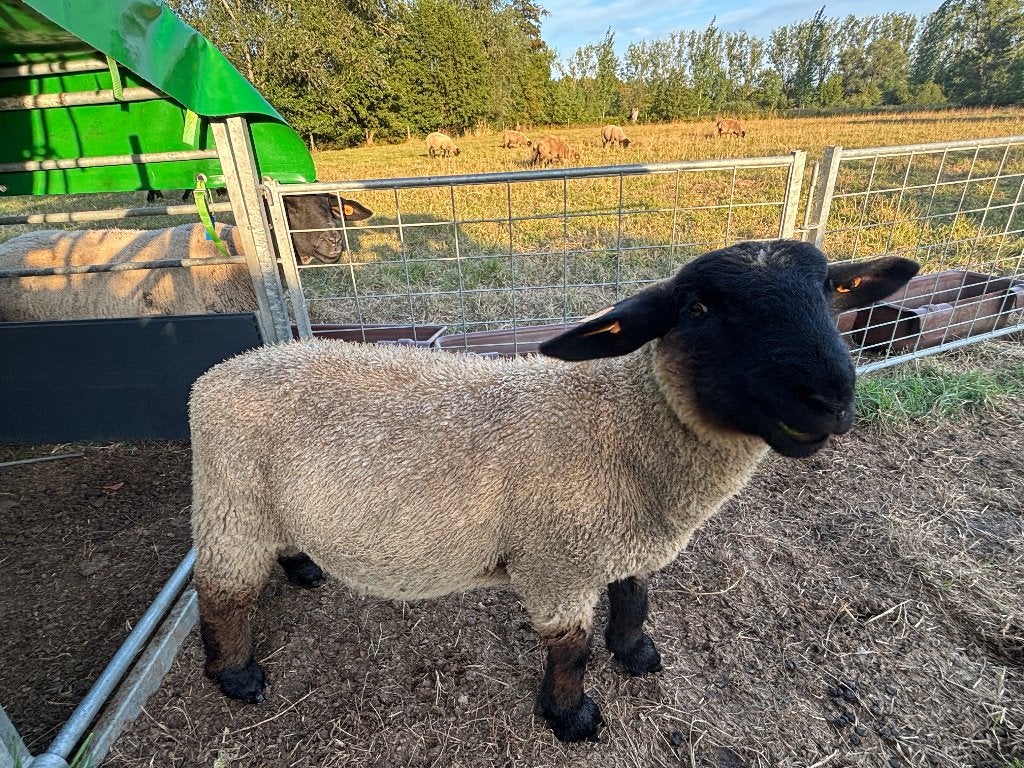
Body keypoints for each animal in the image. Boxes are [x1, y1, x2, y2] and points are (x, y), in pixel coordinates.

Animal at [189, 239, 918, 742]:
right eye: (699, 308)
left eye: (831, 292)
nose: (829, 399)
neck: (621, 428)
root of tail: (222, 371)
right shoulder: (557, 562)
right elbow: (572, 648)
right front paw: (572, 718)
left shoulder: (619, 538)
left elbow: (634, 599)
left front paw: (638, 654)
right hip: (228, 502)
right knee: (220, 592)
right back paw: (236, 676)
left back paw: (304, 567)